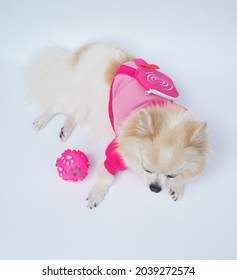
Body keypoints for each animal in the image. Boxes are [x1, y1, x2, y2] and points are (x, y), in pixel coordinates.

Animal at [25, 41, 208, 208]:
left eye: (172, 175)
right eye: (147, 169)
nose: (155, 188)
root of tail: (92, 45)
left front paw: (177, 186)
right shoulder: (116, 149)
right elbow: (107, 174)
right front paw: (97, 193)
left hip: (89, 103)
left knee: (75, 114)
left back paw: (66, 129)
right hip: (77, 96)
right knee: (57, 106)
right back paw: (41, 121)